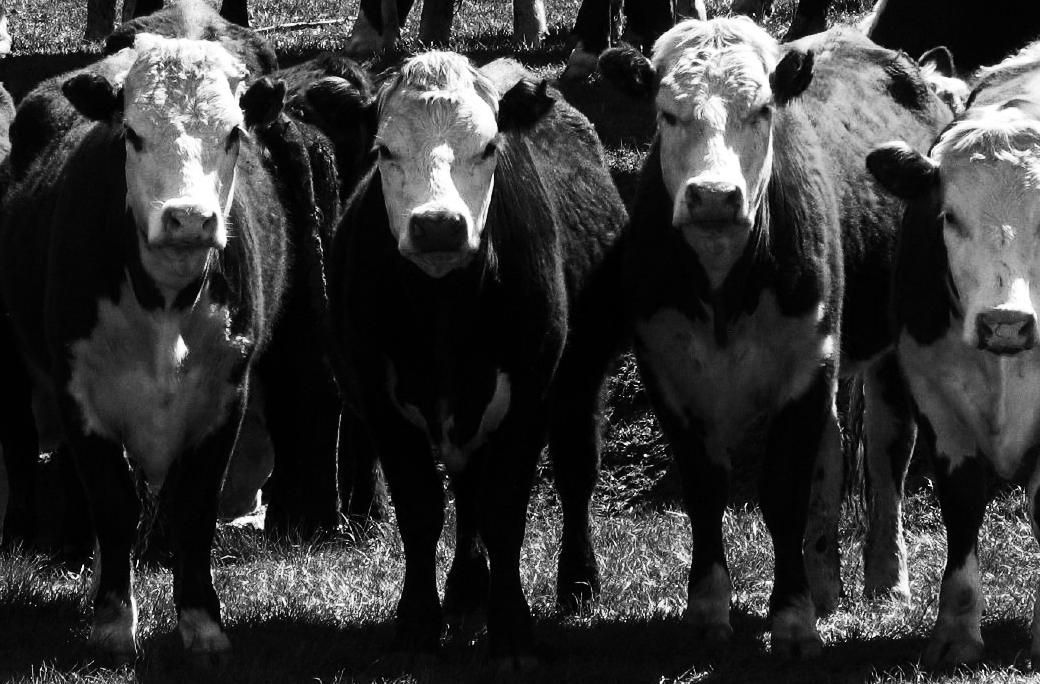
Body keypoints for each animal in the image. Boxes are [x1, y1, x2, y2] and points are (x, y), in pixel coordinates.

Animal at [0, 6, 333, 661]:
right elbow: (112, 503)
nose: (188, 218)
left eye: (233, 134)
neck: (166, 300)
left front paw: (202, 623)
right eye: (132, 134)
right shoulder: (81, 396)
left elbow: (194, 509)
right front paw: (112, 624)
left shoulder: (226, 397)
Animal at [328, 51, 628, 663]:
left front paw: (511, 629)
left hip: (582, 380)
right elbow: (422, 510)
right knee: (466, 491)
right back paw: (466, 591)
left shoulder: (531, 397)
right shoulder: (379, 403)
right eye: (383, 150)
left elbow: (505, 511)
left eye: (489, 147)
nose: (438, 224)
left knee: (576, 474)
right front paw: (418, 624)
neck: (444, 313)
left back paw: (577, 581)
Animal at [600, 20, 951, 655]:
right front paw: (708, 611)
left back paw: (886, 579)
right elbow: (706, 491)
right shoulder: (669, 374)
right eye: (667, 113)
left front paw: (792, 618)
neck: (723, 288)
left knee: (887, 450)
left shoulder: (806, 367)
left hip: (887, 348)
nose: (715, 196)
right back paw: (825, 583)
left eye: (763, 110)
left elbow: (785, 492)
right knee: (833, 455)